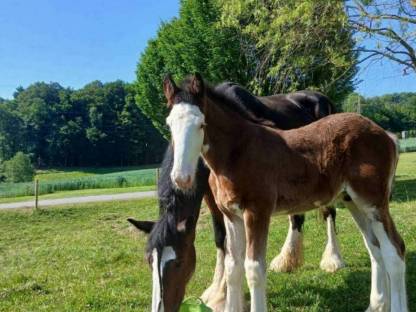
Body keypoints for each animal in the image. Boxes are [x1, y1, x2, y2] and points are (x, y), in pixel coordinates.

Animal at [130, 81, 344, 312]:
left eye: (179, 262)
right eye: (149, 261)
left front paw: (222, 296)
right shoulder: (214, 199)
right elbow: (220, 239)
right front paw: (220, 292)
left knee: (329, 213)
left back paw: (333, 259)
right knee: (296, 217)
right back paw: (288, 259)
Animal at [165, 73, 406, 312]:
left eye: (201, 124)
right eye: (169, 124)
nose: (181, 178)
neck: (237, 152)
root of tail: (385, 134)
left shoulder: (257, 212)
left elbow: (254, 269)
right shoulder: (231, 216)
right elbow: (233, 267)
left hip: (373, 202)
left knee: (395, 250)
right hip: (353, 201)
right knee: (375, 248)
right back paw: (376, 305)